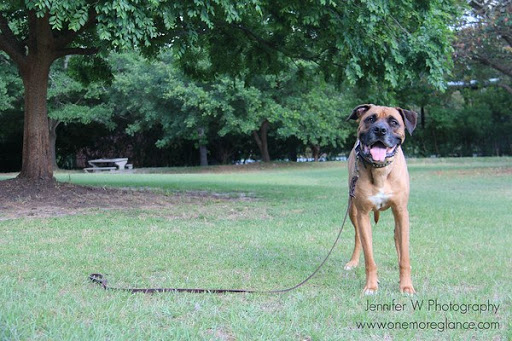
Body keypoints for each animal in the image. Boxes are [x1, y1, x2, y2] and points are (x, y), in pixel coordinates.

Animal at [346, 102, 418, 294]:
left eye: (394, 122)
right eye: (370, 119)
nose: (380, 130)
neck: (380, 170)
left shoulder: (401, 211)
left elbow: (405, 256)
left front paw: (406, 286)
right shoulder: (363, 214)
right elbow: (369, 258)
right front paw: (371, 286)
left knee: (397, 238)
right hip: (352, 210)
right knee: (358, 237)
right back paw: (353, 262)